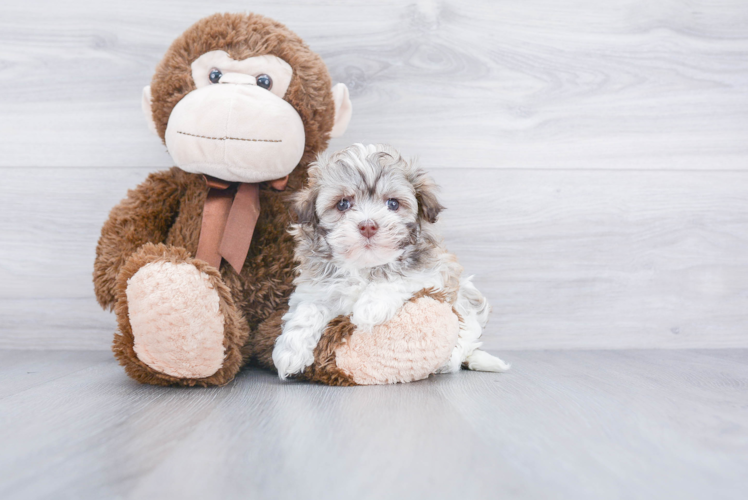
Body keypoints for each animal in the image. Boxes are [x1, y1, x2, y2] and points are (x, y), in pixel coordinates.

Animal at [272, 144, 512, 378]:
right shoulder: (315, 288)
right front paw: (289, 352)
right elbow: (307, 310)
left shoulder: (432, 272)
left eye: (393, 204)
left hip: (466, 299)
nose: (368, 226)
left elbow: (397, 278)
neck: (364, 265)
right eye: (342, 204)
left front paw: (369, 308)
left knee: (466, 336)